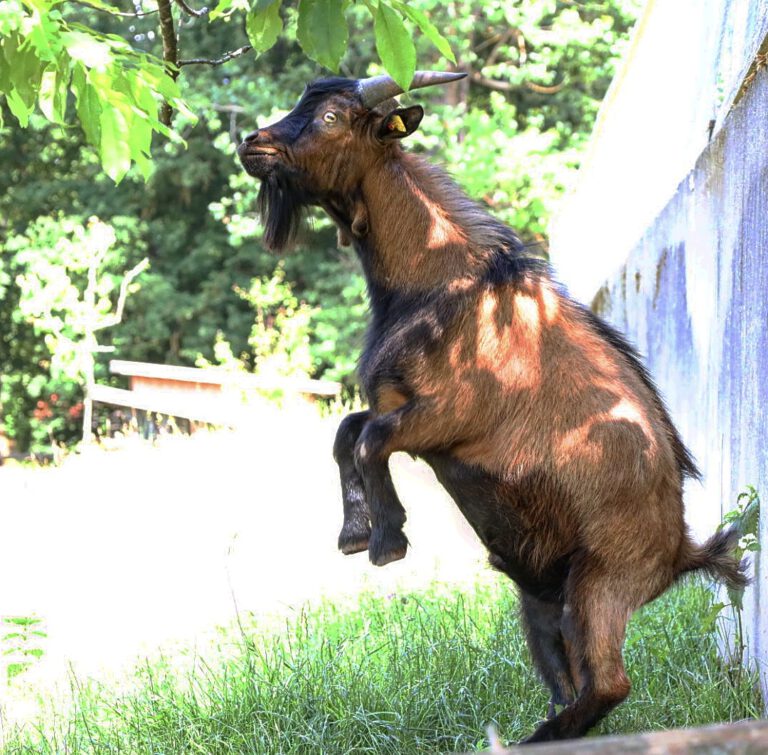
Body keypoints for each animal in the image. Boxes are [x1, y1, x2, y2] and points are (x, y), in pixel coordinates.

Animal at [237, 69, 748, 744]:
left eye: (330, 118)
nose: (253, 144)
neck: (441, 281)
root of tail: (680, 550)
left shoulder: (444, 418)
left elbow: (369, 440)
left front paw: (388, 540)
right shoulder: (394, 404)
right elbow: (346, 432)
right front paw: (353, 531)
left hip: (602, 582)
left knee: (610, 684)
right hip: (544, 598)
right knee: (572, 681)